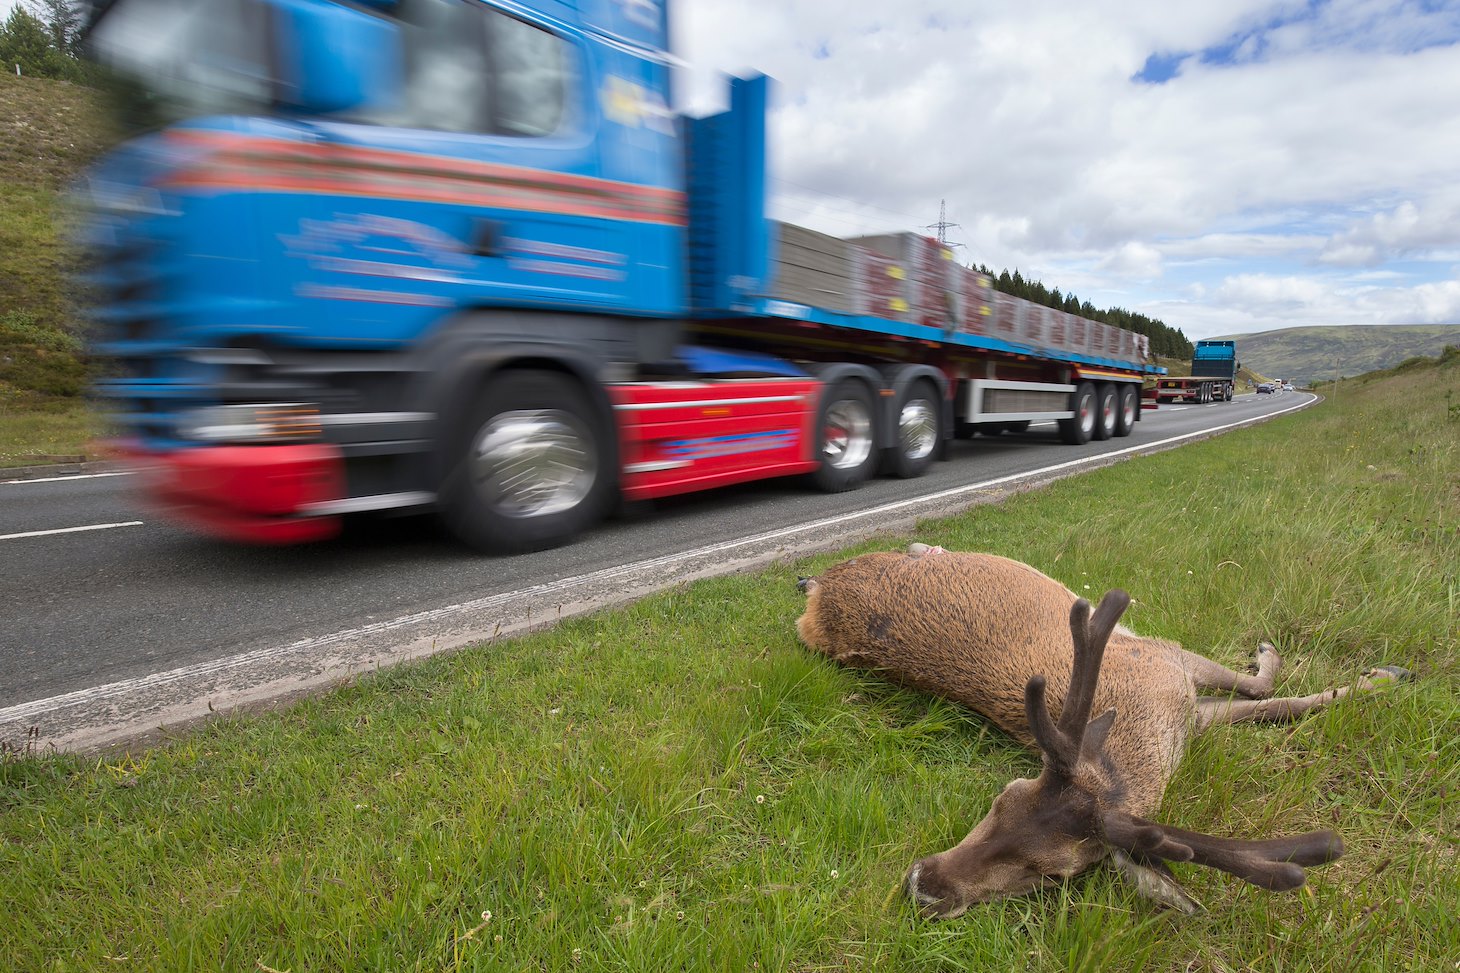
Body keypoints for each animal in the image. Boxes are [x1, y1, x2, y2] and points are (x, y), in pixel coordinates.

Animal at [795, 543, 1408, 916]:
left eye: (1052, 875)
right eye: (998, 801)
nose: (924, 886)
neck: (1149, 730)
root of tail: (817, 591)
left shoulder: (1184, 697)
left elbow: (1272, 702)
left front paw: (1380, 677)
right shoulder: (1161, 654)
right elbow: (1260, 690)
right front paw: (1376, 674)